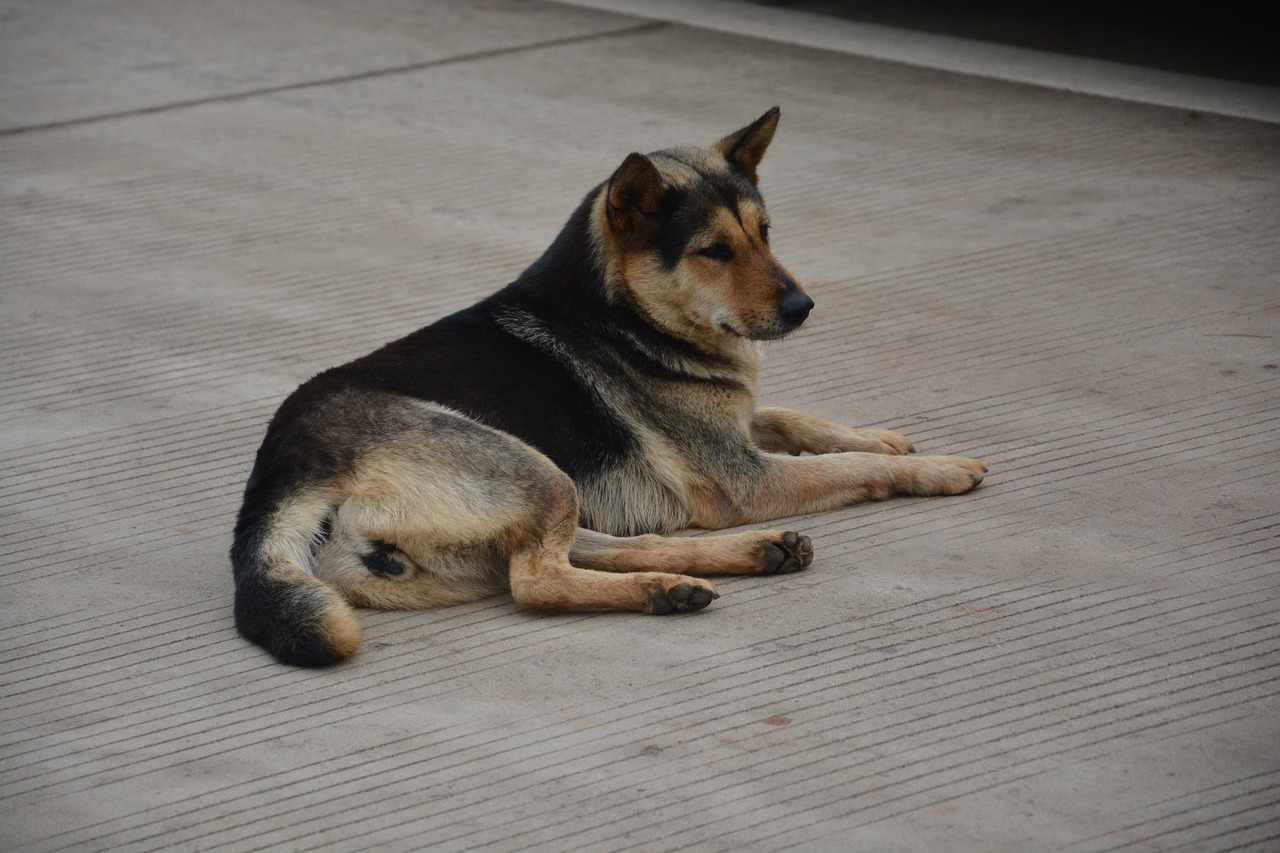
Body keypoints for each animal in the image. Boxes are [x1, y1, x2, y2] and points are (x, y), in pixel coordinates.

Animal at [230, 108, 988, 666]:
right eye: (714, 251)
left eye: (765, 233)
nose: (803, 308)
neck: (621, 311)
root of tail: (281, 476)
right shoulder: (746, 477)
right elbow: (849, 467)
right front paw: (935, 467)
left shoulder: (736, 429)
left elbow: (793, 415)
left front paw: (881, 436)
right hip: (529, 467)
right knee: (536, 582)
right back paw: (666, 587)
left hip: (539, 485)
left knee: (602, 546)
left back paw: (724, 561)